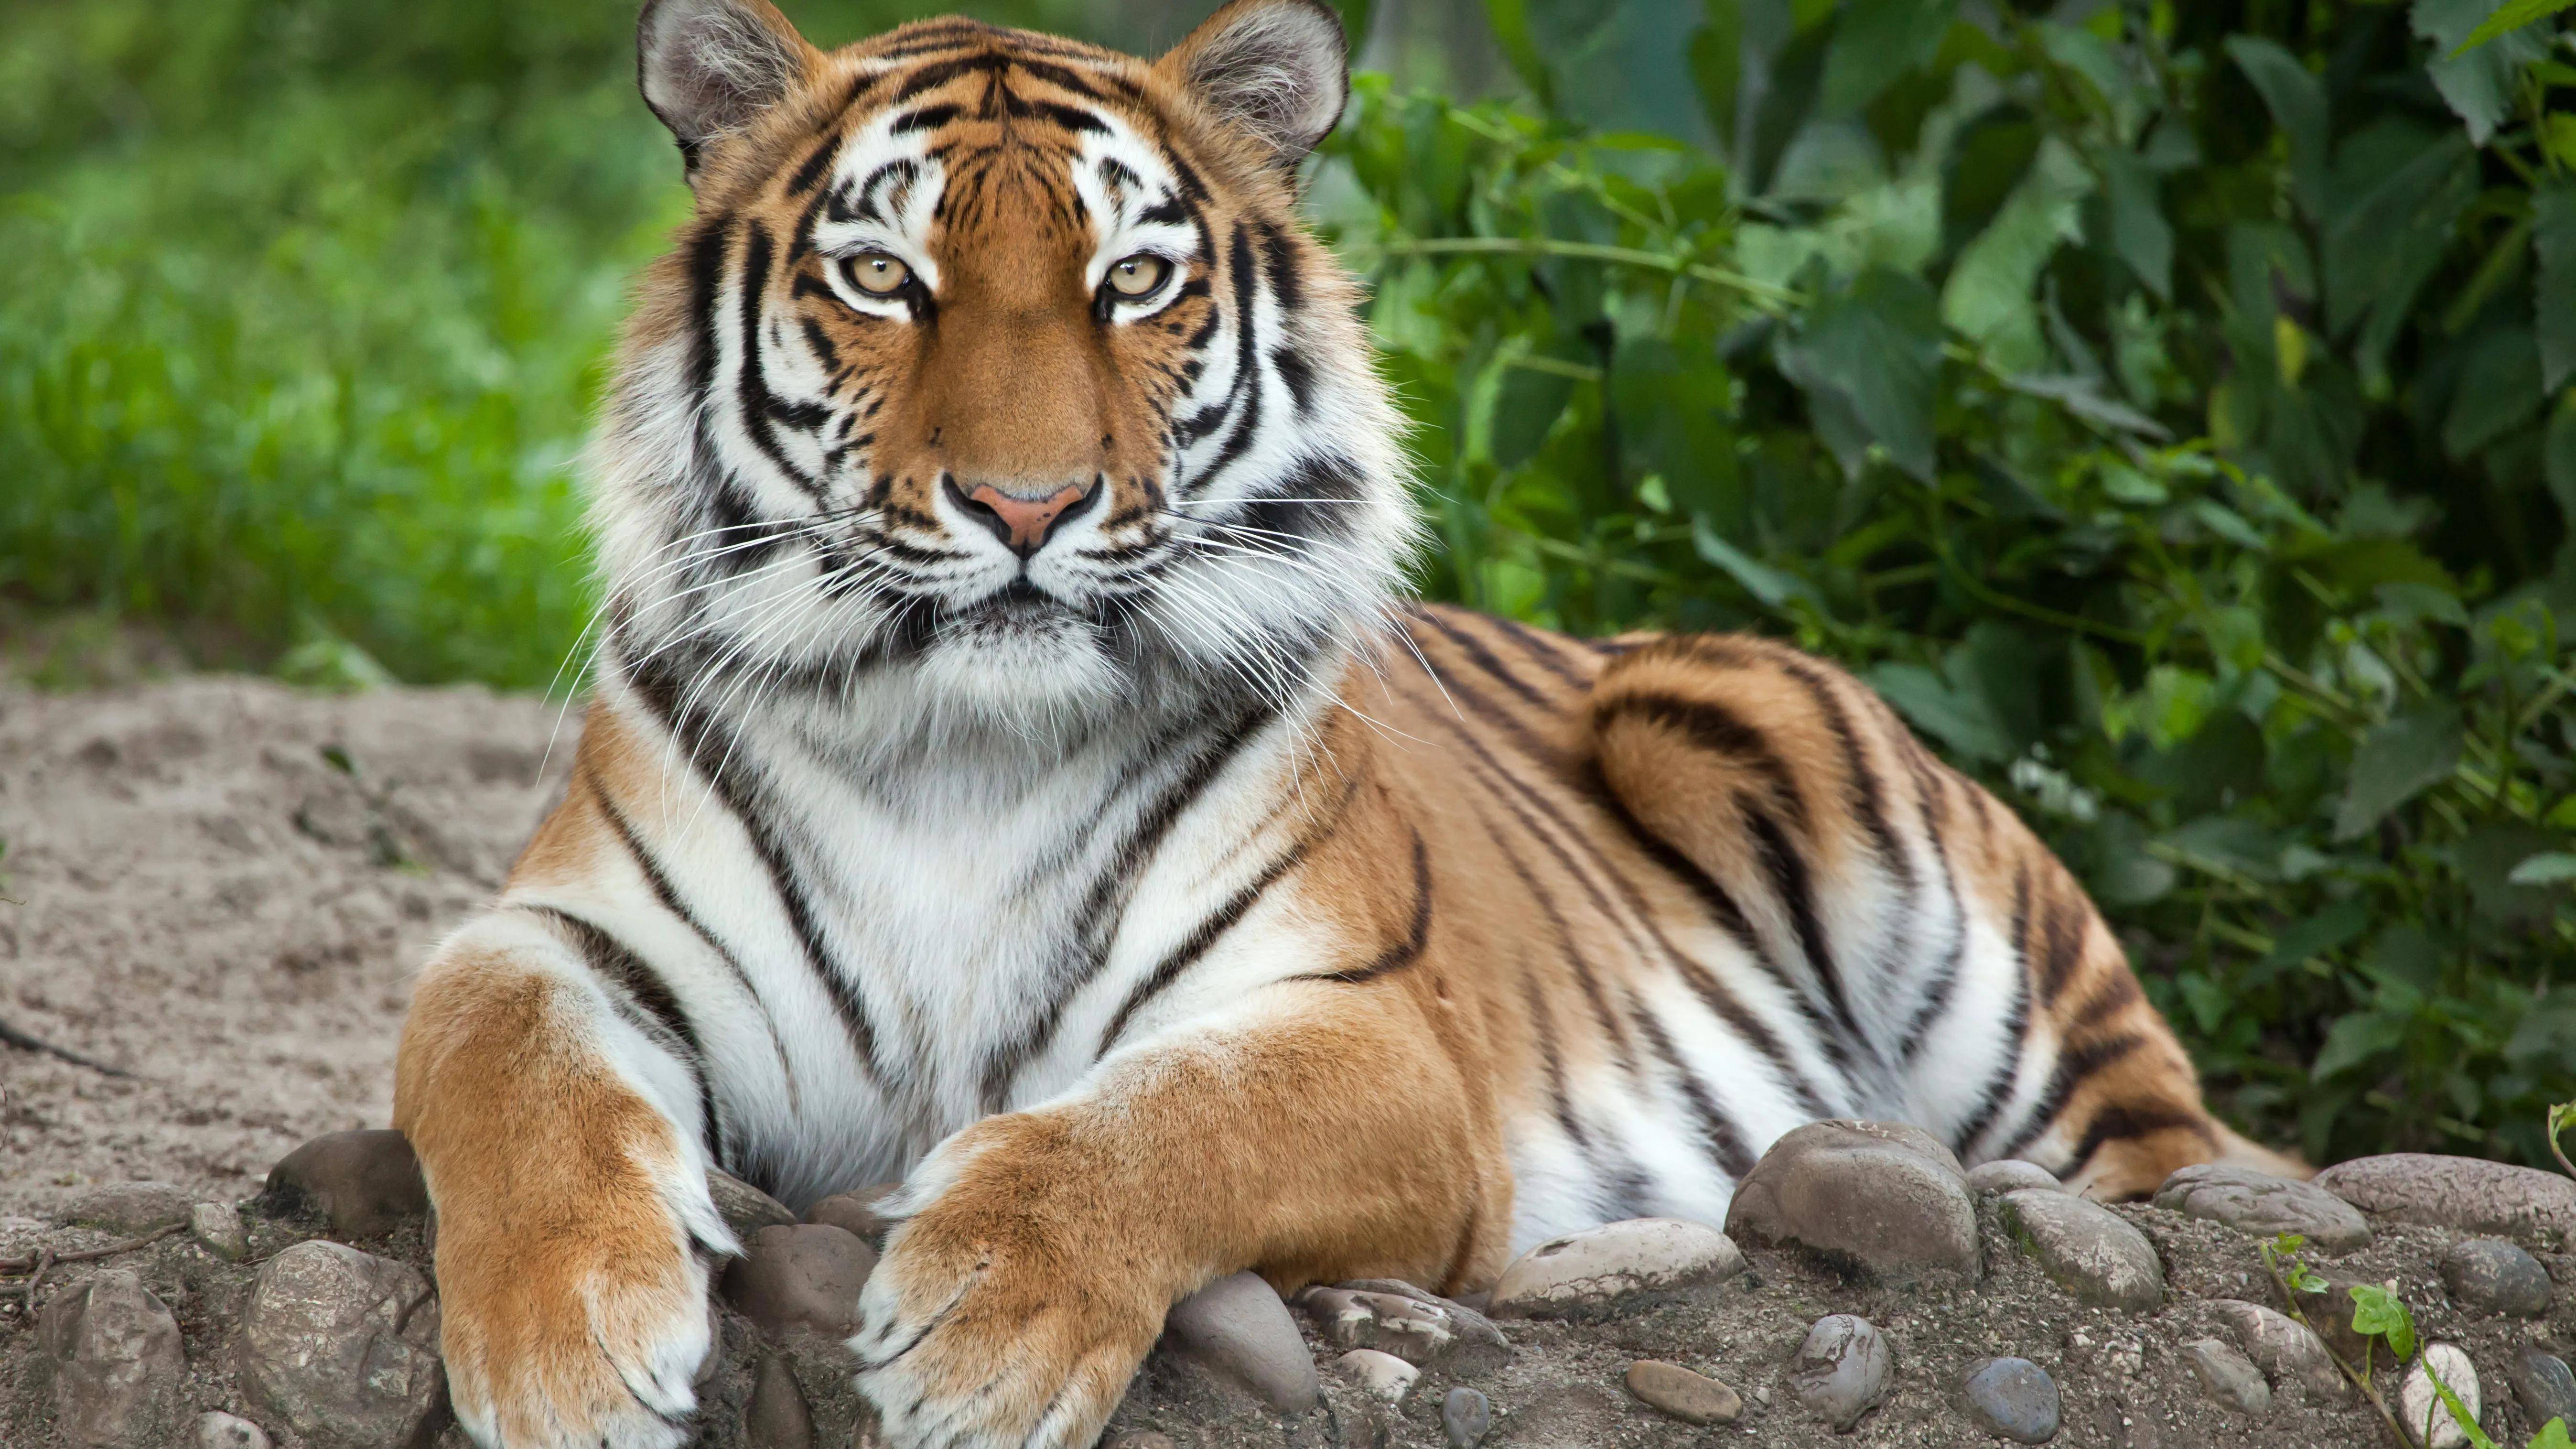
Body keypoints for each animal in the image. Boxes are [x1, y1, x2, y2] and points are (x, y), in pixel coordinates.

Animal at [397, 0, 2297, 1433]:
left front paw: (981, 1324)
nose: (1026, 505)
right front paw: (569, 1352)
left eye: (1131, 284)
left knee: (2179, 1161)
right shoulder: (555, 931)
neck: (958, 746)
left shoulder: (1377, 1039)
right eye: (885, 279)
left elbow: (1158, 1121)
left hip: (1795, 770)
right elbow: (507, 1063)